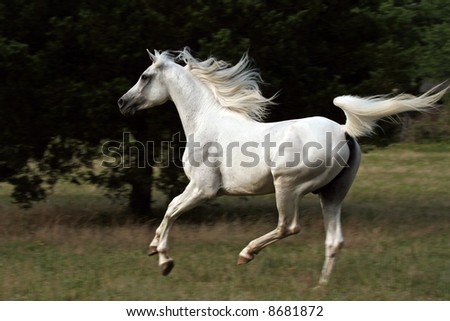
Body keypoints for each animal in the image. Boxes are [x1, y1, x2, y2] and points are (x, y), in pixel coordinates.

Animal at [118, 48, 448, 284]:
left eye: (145, 76)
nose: (122, 102)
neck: (205, 121)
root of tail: (344, 131)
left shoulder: (204, 188)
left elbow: (172, 208)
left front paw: (164, 261)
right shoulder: (198, 188)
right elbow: (170, 210)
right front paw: (154, 247)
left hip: (287, 186)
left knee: (289, 226)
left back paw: (246, 254)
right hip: (332, 194)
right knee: (334, 240)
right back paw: (320, 286)